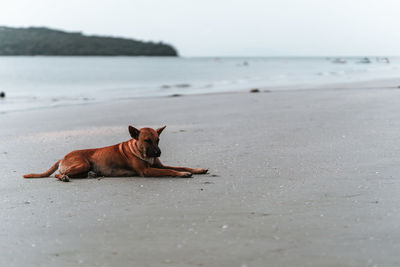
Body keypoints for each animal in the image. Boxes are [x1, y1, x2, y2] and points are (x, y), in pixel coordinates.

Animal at [23, 126, 208, 182]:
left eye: (158, 139)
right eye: (147, 140)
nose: (158, 152)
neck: (140, 151)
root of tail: (62, 157)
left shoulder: (157, 165)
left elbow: (181, 165)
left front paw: (197, 169)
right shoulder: (147, 171)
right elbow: (170, 170)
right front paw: (182, 174)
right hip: (82, 163)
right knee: (57, 175)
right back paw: (63, 177)